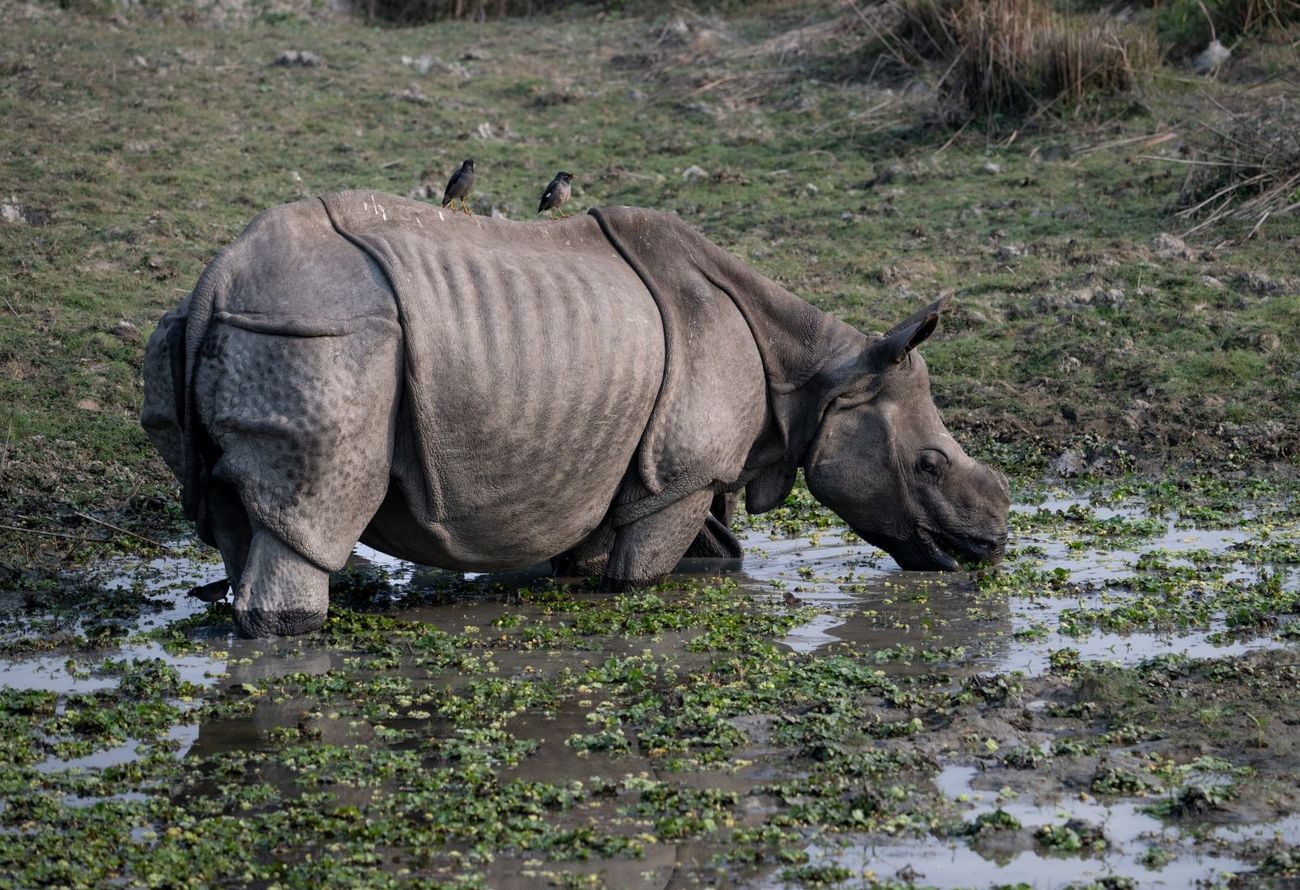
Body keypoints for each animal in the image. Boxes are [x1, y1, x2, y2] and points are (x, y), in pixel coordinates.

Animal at [144, 192, 1013, 639]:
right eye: (929, 464)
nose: (992, 543)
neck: (818, 375)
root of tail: (219, 278)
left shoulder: (621, 462)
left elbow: (641, 555)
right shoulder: (679, 477)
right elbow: (638, 578)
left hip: (243, 329)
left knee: (235, 517)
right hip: (322, 337)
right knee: (312, 516)